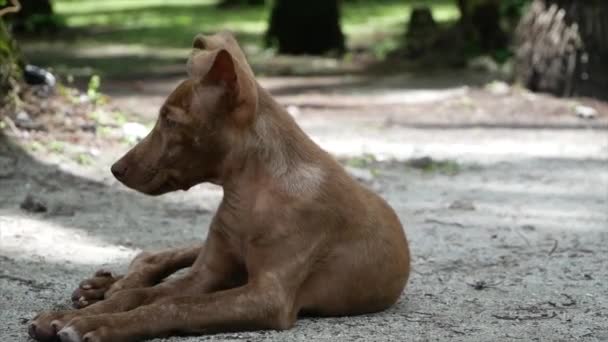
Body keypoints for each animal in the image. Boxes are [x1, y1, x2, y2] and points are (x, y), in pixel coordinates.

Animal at [27, 31, 408, 342]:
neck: (250, 195)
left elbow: (175, 305)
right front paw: (71, 315)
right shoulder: (206, 274)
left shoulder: (267, 296)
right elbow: (139, 297)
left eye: (170, 120)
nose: (115, 169)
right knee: (154, 257)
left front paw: (96, 324)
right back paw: (103, 286)